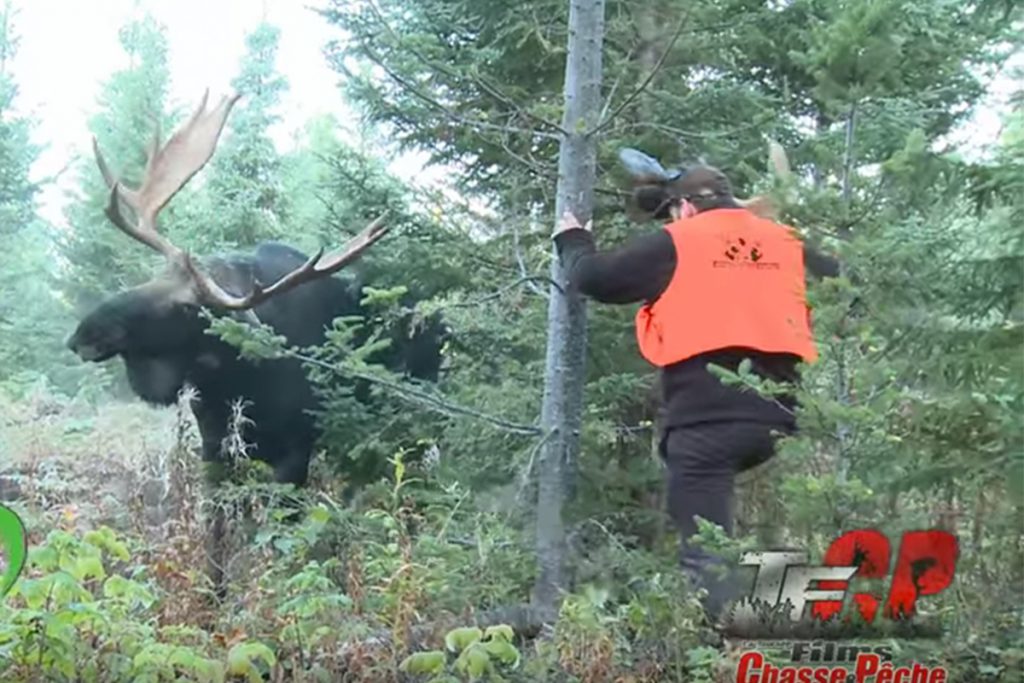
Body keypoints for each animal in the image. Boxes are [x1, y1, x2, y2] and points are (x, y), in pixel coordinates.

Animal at [67, 90, 444, 489]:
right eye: (155, 276)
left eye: (188, 307)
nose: (84, 333)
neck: (233, 379)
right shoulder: (213, 441)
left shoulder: (296, 449)